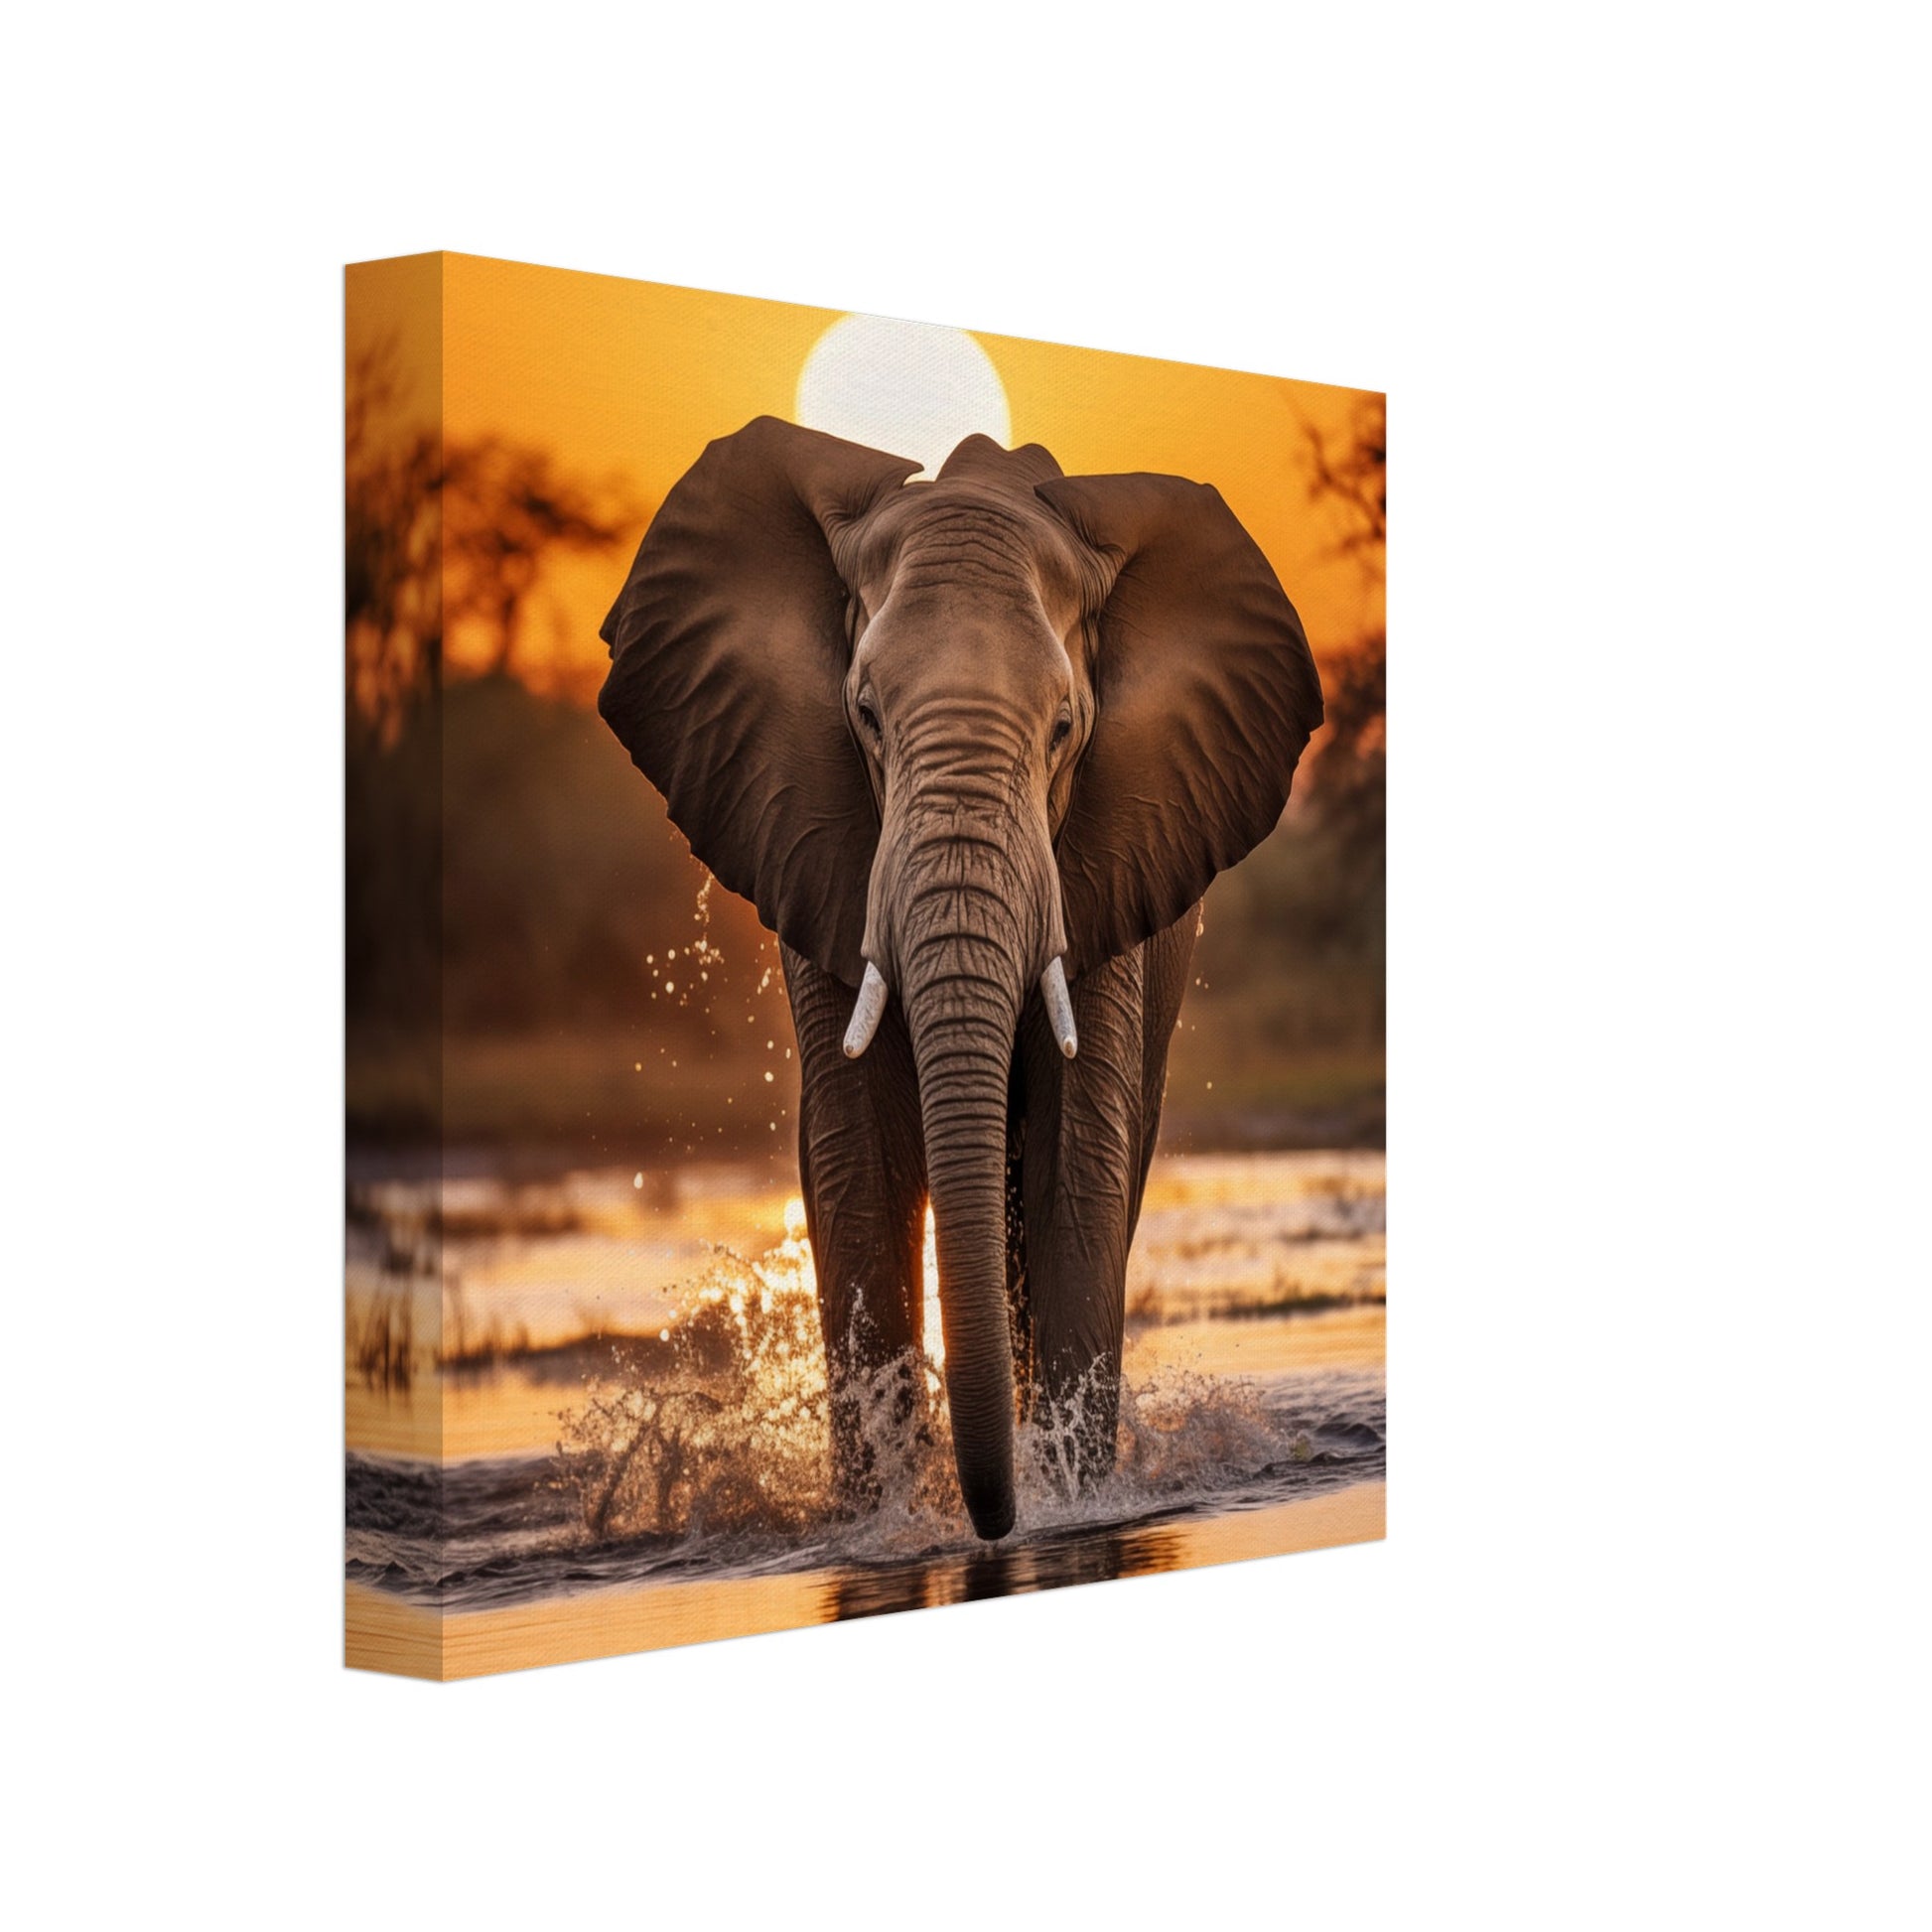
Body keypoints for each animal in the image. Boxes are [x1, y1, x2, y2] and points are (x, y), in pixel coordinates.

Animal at [598, 416, 1322, 1540]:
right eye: (864, 714)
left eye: (1065, 728)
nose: (995, 1522)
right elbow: (857, 1159)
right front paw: (881, 1519)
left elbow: (1076, 1158)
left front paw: (1071, 1500)